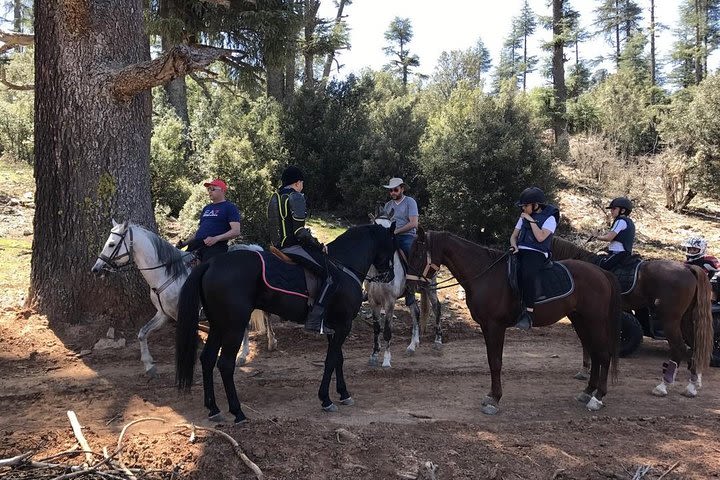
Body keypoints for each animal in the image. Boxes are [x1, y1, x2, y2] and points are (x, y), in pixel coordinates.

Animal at [91, 220, 278, 376]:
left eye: (112, 244)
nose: (96, 269)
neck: (167, 273)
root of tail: (254, 248)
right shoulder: (164, 314)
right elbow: (142, 334)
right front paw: (149, 365)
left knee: (259, 318)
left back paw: (255, 349)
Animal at [176, 223, 396, 422]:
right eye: (393, 247)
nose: (390, 276)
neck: (343, 266)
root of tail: (211, 264)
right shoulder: (343, 325)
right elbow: (331, 360)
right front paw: (326, 399)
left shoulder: (335, 326)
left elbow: (338, 360)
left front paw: (343, 394)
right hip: (234, 327)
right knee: (225, 364)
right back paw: (237, 412)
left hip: (218, 325)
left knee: (207, 359)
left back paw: (213, 408)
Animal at [368, 214, 442, 368]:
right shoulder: (373, 301)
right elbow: (376, 329)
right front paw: (374, 355)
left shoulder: (390, 302)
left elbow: (387, 331)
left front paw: (386, 360)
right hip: (411, 295)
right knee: (416, 313)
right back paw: (412, 345)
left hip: (430, 287)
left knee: (437, 307)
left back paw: (438, 341)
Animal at [404, 227, 624, 414]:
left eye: (417, 253)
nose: (408, 286)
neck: (485, 275)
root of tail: (601, 272)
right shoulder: (486, 327)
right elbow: (491, 360)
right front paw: (491, 396)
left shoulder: (495, 326)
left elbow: (496, 362)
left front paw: (494, 400)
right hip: (580, 321)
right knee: (595, 354)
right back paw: (587, 392)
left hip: (595, 321)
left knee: (603, 355)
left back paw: (597, 398)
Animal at [556, 236, 712, 398]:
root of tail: (687, 268)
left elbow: (587, 342)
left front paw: (584, 371)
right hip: (685, 320)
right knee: (695, 346)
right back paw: (693, 385)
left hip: (670, 320)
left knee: (678, 348)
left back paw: (663, 386)